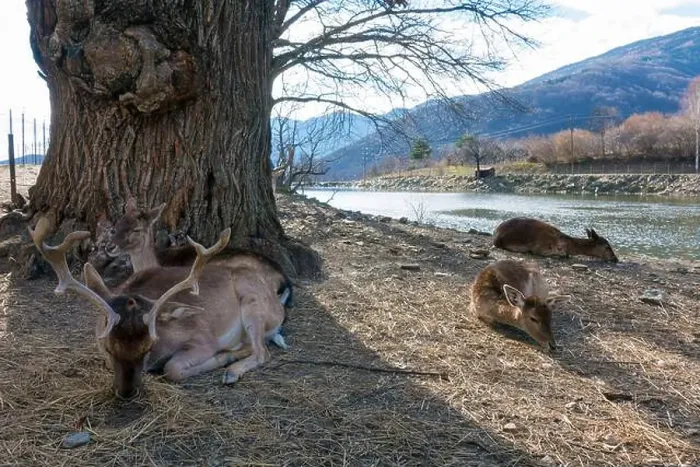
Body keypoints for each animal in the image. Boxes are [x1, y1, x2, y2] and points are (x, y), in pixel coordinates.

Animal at [30, 217, 288, 399]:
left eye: (149, 347)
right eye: (106, 347)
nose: (127, 393)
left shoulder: (203, 338)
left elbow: (172, 368)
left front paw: (220, 358)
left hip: (252, 303)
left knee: (261, 351)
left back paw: (232, 370)